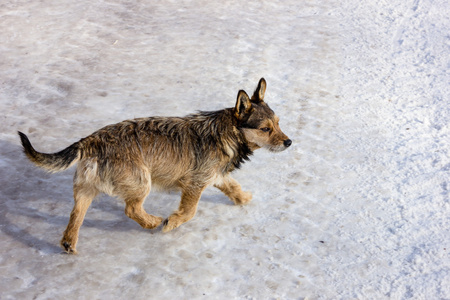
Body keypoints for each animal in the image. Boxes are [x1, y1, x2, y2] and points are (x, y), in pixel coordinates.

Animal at [18, 77, 292, 253]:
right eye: (265, 129)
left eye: (278, 123)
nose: (289, 142)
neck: (227, 132)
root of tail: (91, 140)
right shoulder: (195, 183)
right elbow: (190, 211)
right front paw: (172, 222)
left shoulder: (215, 176)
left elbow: (233, 187)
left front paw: (243, 198)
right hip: (142, 182)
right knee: (131, 209)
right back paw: (152, 222)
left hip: (86, 189)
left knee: (76, 215)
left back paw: (69, 243)